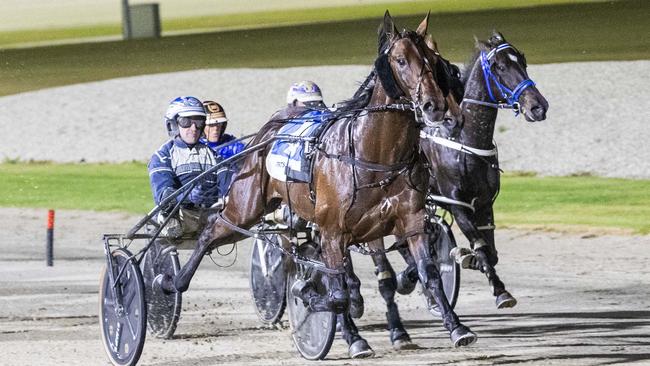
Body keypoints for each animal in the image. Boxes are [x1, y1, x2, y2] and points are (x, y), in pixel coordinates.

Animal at [158, 12, 476, 358]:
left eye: (432, 58)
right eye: (401, 60)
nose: (435, 106)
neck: (374, 152)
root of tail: (273, 126)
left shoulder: (410, 221)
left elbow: (428, 274)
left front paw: (457, 327)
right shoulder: (333, 231)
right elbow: (336, 294)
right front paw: (329, 313)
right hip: (246, 205)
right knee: (212, 230)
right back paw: (171, 282)